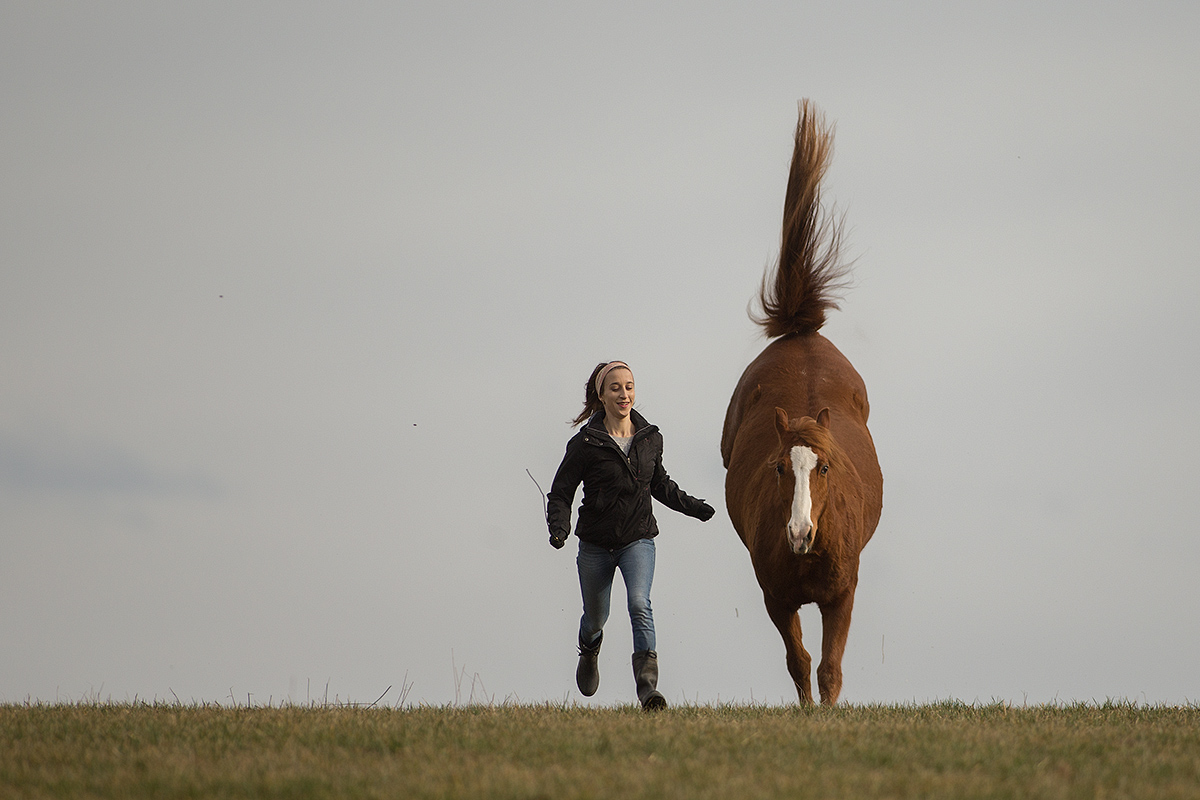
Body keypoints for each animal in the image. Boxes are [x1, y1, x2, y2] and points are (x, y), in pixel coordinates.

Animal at [715, 100, 888, 705]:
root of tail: (800, 332)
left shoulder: (842, 595)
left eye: (826, 467)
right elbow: (800, 661)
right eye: (777, 468)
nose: (799, 533)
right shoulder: (777, 599)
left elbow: (830, 666)